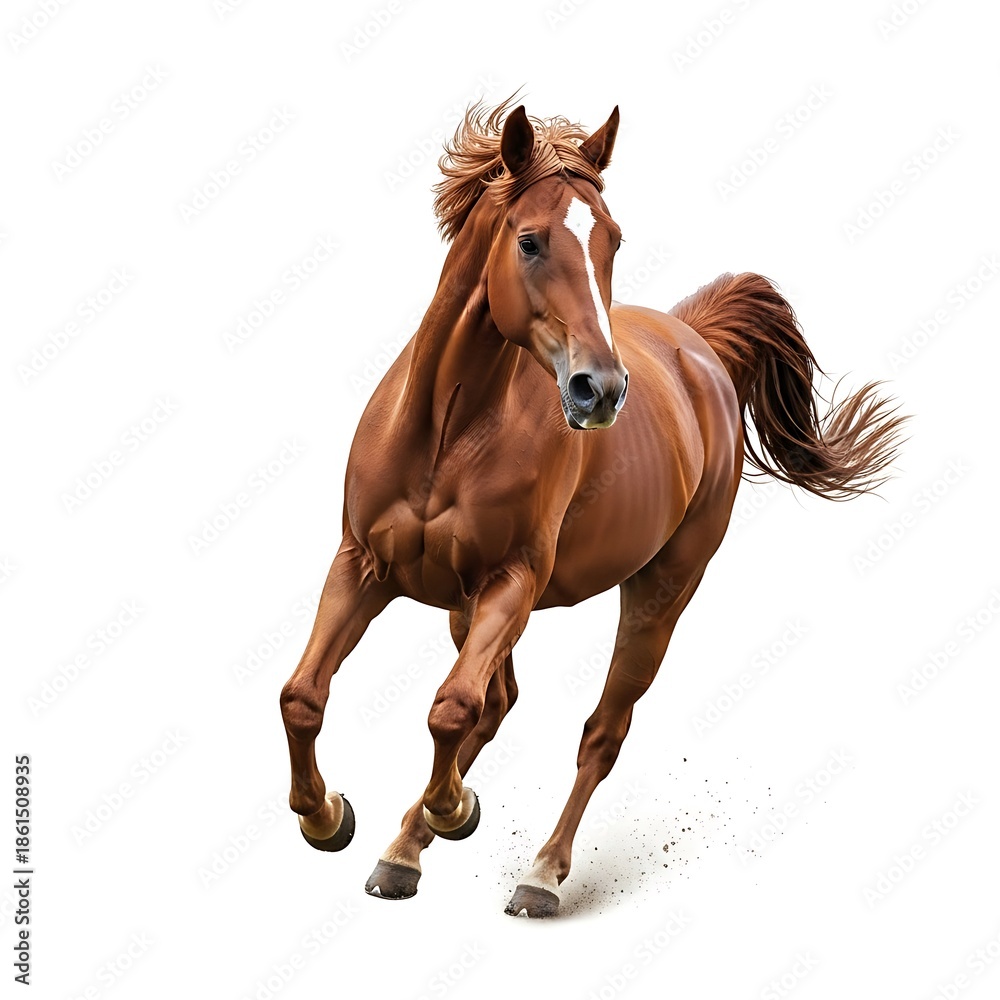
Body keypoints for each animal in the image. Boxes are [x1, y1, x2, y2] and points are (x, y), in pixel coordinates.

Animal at [279, 98, 905, 917]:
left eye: (612, 238)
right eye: (530, 240)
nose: (599, 391)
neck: (449, 431)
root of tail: (696, 344)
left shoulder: (513, 581)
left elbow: (451, 708)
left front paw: (449, 810)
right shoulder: (363, 565)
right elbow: (304, 696)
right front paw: (328, 817)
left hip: (658, 592)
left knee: (598, 731)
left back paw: (536, 872)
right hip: (462, 604)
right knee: (500, 699)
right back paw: (405, 850)